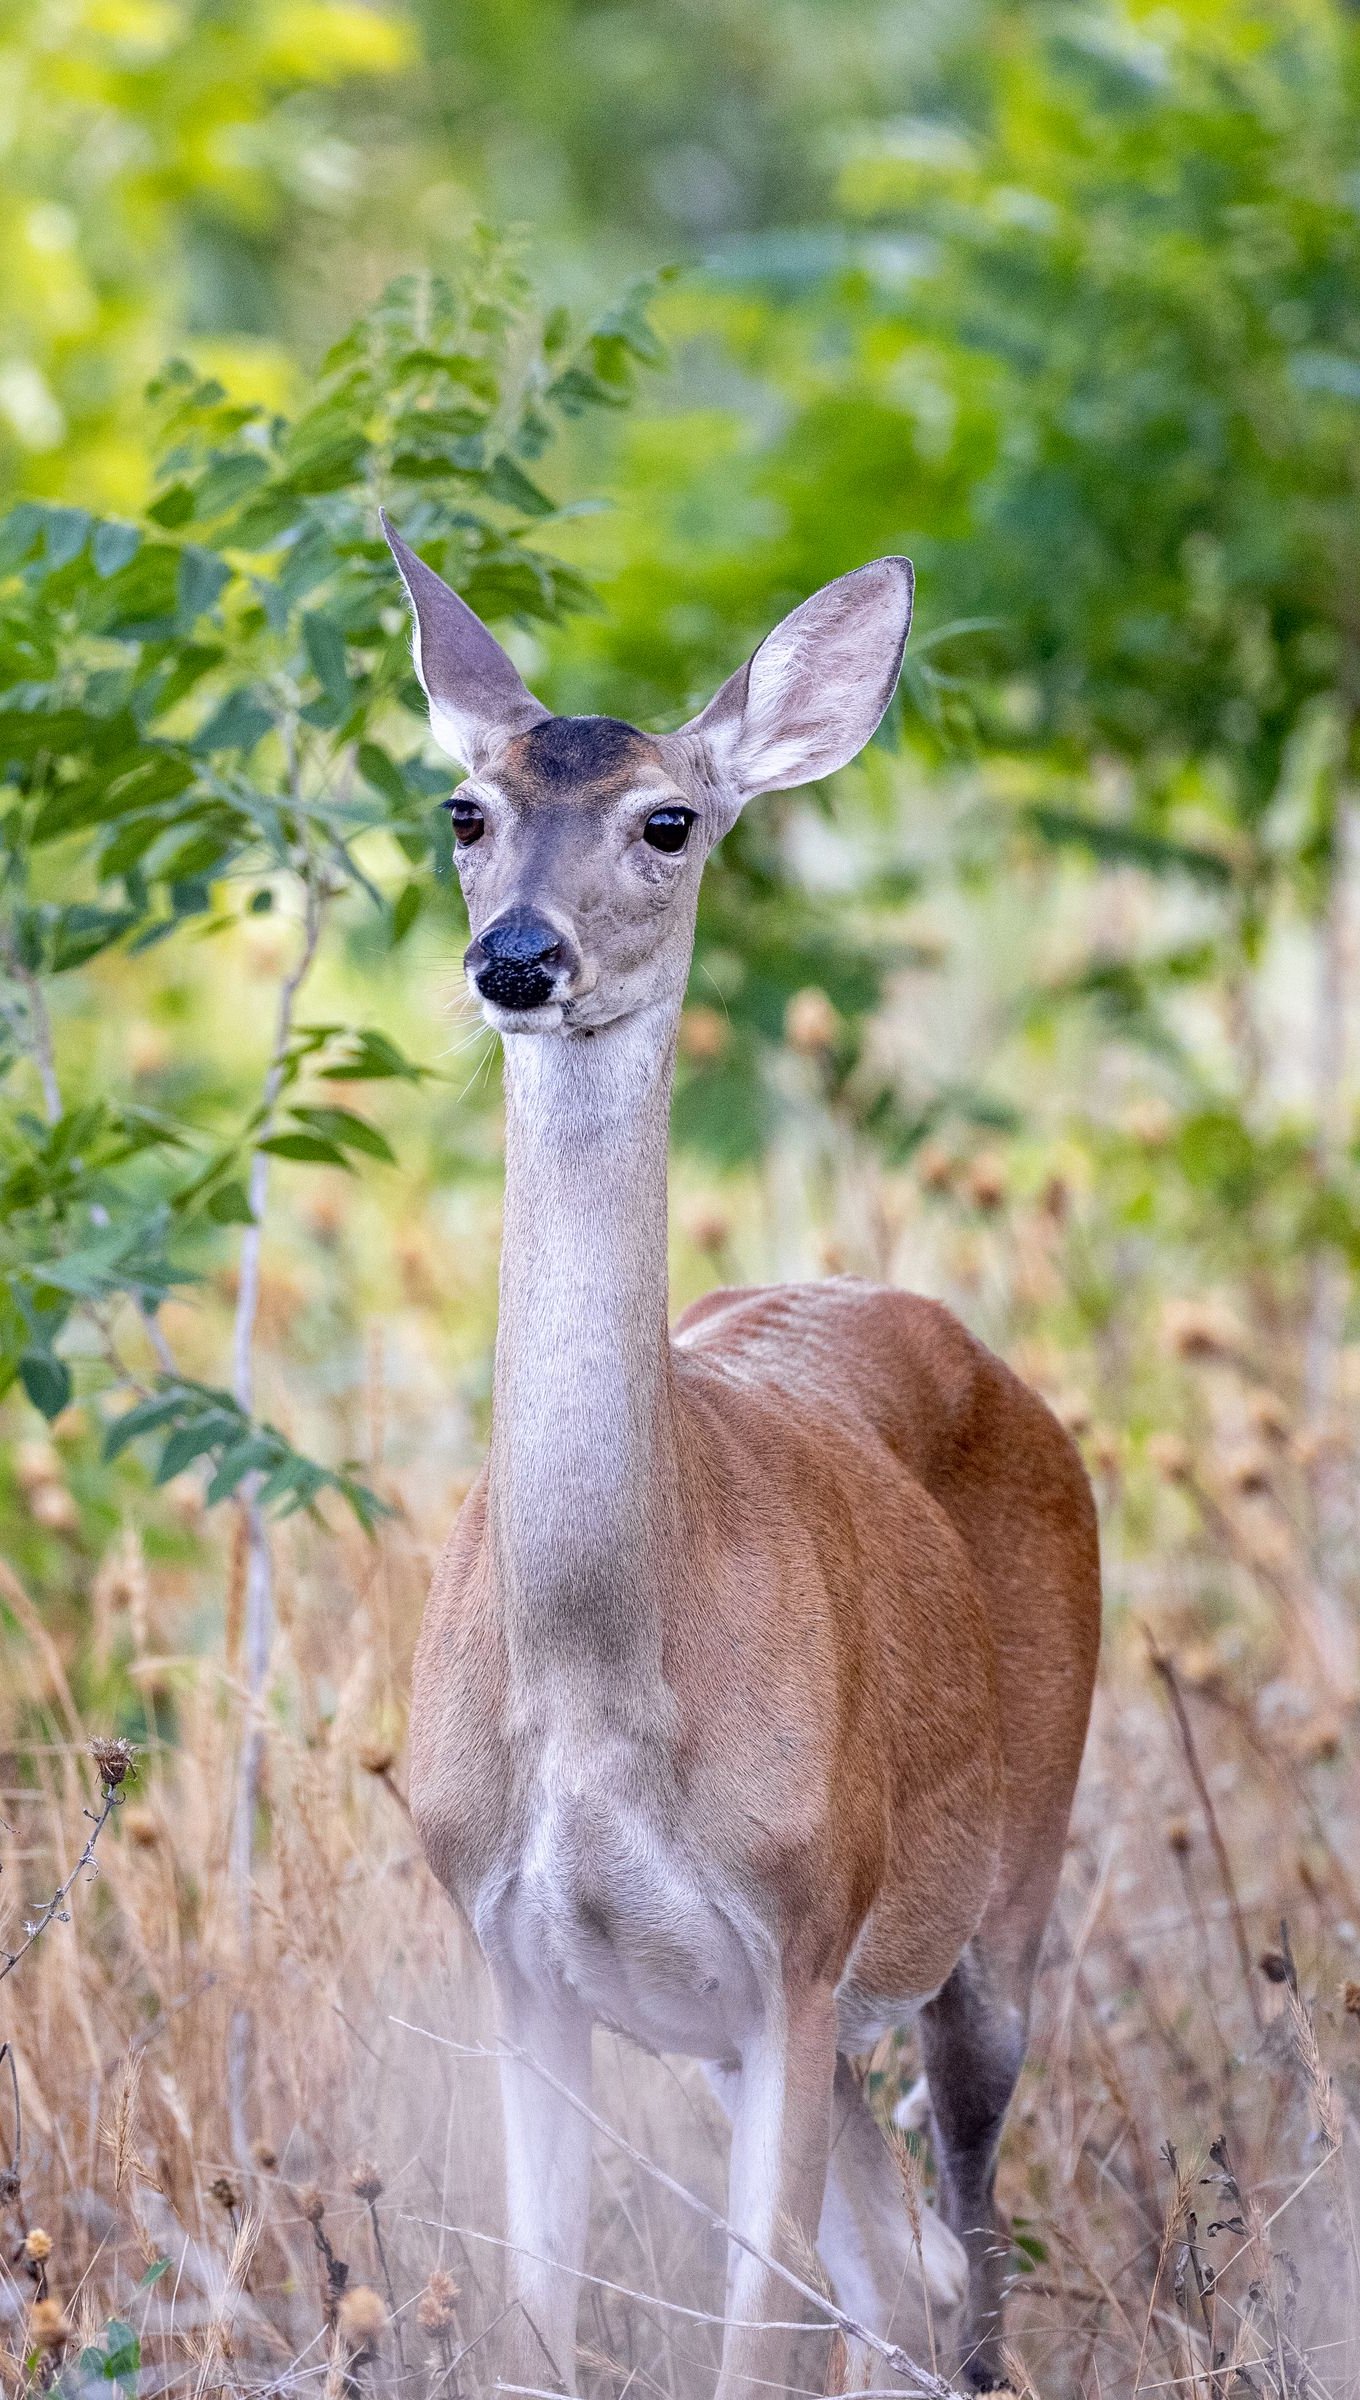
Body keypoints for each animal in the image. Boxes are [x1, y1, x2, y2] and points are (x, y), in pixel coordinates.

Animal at [383, 520, 1108, 2400]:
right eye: (464, 808)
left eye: (668, 820)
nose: (517, 959)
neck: (598, 1681)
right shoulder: (516, 1950)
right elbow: (540, 2317)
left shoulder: (797, 1922)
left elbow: (753, 2333)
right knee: (899, 2271)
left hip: (998, 1891)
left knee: (969, 2244)